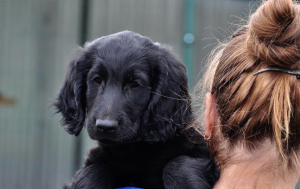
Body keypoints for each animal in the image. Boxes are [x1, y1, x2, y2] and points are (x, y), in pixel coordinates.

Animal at [54, 31, 218, 189]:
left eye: (134, 84)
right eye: (97, 80)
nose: (105, 127)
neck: (135, 149)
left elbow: (177, 165)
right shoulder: (97, 160)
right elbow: (93, 171)